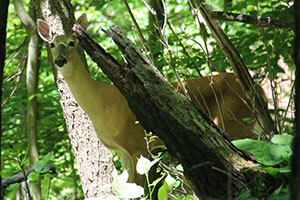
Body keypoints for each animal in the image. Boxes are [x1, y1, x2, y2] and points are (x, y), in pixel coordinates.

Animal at [37, 14, 264, 188]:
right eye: (52, 44)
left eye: (72, 43)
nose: (60, 60)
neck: (101, 105)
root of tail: (258, 90)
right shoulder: (123, 152)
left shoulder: (138, 144)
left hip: (237, 123)